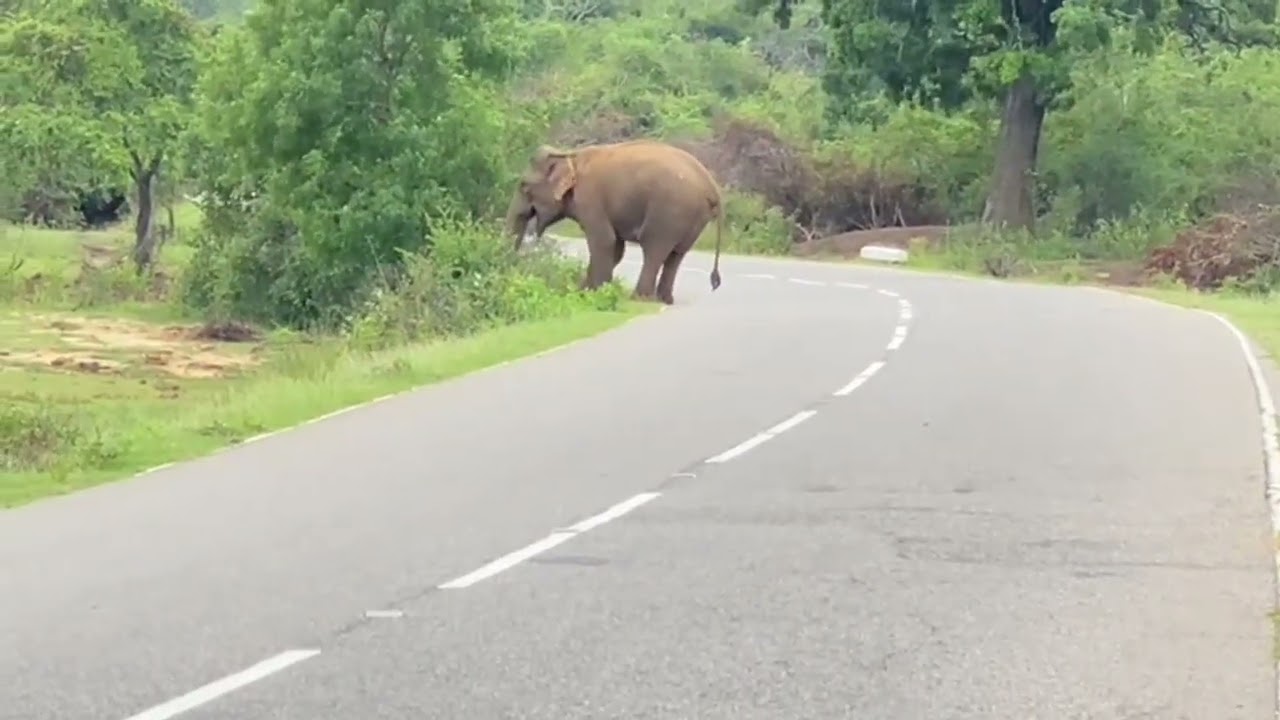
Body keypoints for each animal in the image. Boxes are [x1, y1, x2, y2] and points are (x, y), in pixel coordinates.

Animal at [504, 139, 724, 304]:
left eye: (523, 186)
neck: (570, 156)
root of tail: (712, 188)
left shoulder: (590, 198)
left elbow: (604, 241)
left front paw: (592, 293)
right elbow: (616, 248)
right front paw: (585, 290)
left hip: (671, 211)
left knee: (654, 249)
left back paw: (640, 298)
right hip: (694, 218)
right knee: (676, 254)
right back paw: (664, 300)